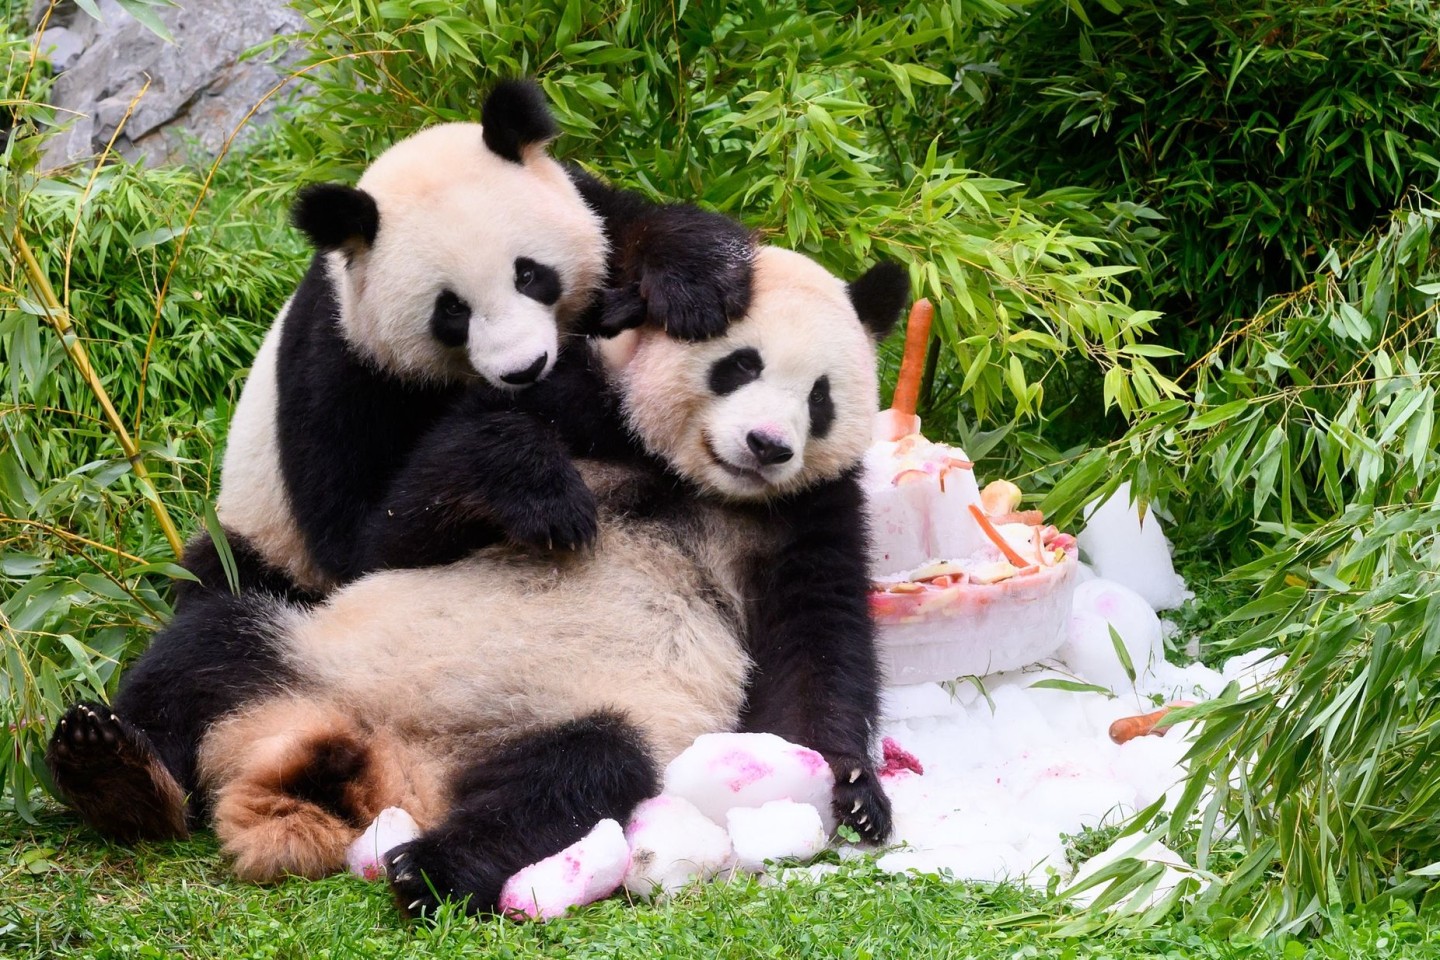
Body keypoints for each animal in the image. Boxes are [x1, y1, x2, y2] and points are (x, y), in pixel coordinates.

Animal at [42, 84, 754, 846]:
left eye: (530, 274)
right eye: (451, 311)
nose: (524, 368)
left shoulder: (593, 213)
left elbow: (651, 227)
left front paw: (697, 290)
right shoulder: (344, 364)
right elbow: (361, 536)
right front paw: (536, 490)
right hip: (260, 556)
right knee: (206, 622)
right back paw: (117, 775)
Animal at [157, 246, 904, 915]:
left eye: (820, 396)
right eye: (740, 365)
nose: (768, 444)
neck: (689, 481)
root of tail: (390, 767)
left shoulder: (808, 512)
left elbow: (814, 650)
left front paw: (855, 791)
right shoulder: (576, 399)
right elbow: (389, 535)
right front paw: (545, 496)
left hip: (587, 717)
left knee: (570, 783)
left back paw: (426, 869)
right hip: (318, 647)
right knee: (204, 653)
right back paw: (132, 771)